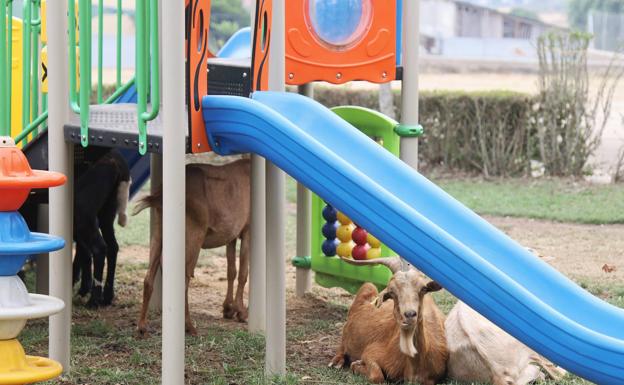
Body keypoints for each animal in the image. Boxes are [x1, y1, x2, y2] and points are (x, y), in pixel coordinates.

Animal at [72, 148, 131, 308]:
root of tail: (116, 159)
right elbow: (84, 255)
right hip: (105, 216)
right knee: (113, 247)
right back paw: (107, 296)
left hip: (83, 214)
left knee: (100, 248)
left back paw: (94, 300)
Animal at [133, 158, 249, 334]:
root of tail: (160, 195)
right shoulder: (249, 230)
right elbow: (243, 273)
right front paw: (241, 313)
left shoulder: (231, 236)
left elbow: (231, 271)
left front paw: (228, 309)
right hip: (193, 236)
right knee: (184, 280)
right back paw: (189, 326)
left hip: (158, 234)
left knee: (148, 278)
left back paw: (142, 327)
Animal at [332, 255, 448, 384]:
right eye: (392, 292)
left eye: (423, 288)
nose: (409, 314)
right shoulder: (371, 352)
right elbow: (378, 377)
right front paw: (357, 364)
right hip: (366, 291)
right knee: (342, 344)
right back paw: (336, 362)